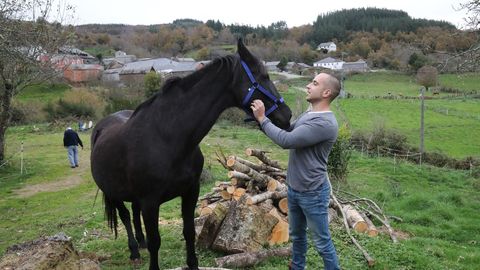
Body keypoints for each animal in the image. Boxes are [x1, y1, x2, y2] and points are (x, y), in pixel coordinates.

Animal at [90, 38, 292, 270]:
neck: (167, 138)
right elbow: (155, 241)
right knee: (124, 216)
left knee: (133, 213)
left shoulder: (190, 192)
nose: (287, 116)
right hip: (114, 193)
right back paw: (134, 250)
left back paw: (140, 242)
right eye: (263, 76)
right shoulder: (150, 202)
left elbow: (188, 232)